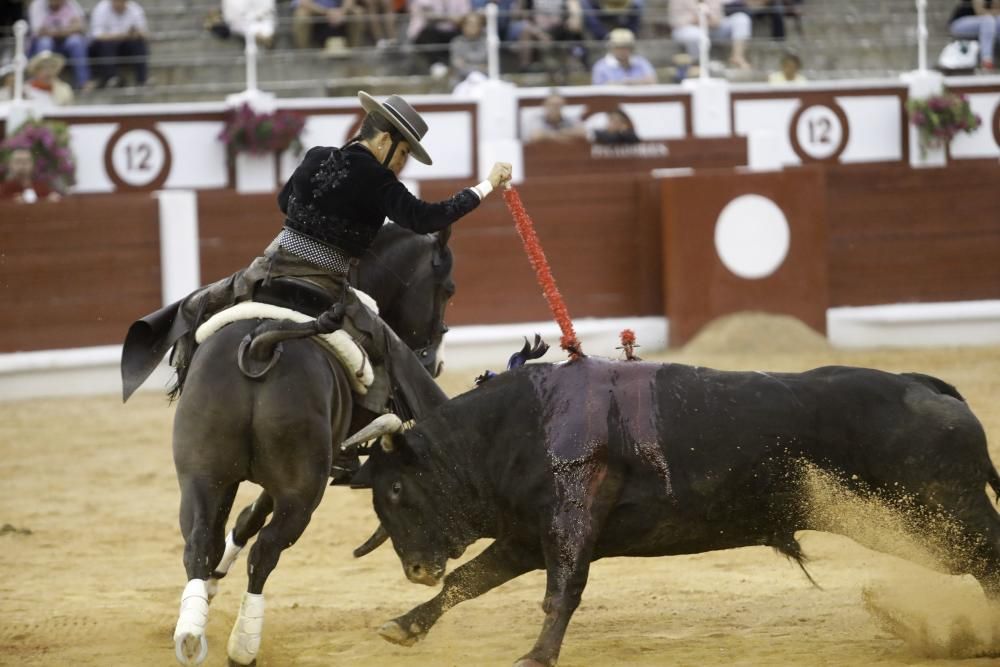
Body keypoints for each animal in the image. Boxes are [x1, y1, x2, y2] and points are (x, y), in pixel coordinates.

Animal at [167, 226, 454, 667]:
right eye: (448, 289)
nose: (434, 363)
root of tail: (261, 346)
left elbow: (242, 519)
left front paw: (212, 582)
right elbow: (252, 519)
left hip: (201, 474)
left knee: (198, 538)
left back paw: (191, 632)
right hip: (303, 493)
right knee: (266, 550)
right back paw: (242, 647)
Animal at [364, 358, 1000, 667]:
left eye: (394, 490)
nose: (415, 568)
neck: (511, 429)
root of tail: (926, 385)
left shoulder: (570, 524)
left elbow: (561, 591)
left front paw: (536, 657)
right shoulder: (526, 537)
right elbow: (470, 581)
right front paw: (405, 625)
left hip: (941, 513)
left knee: (988, 558)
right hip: (908, 524)